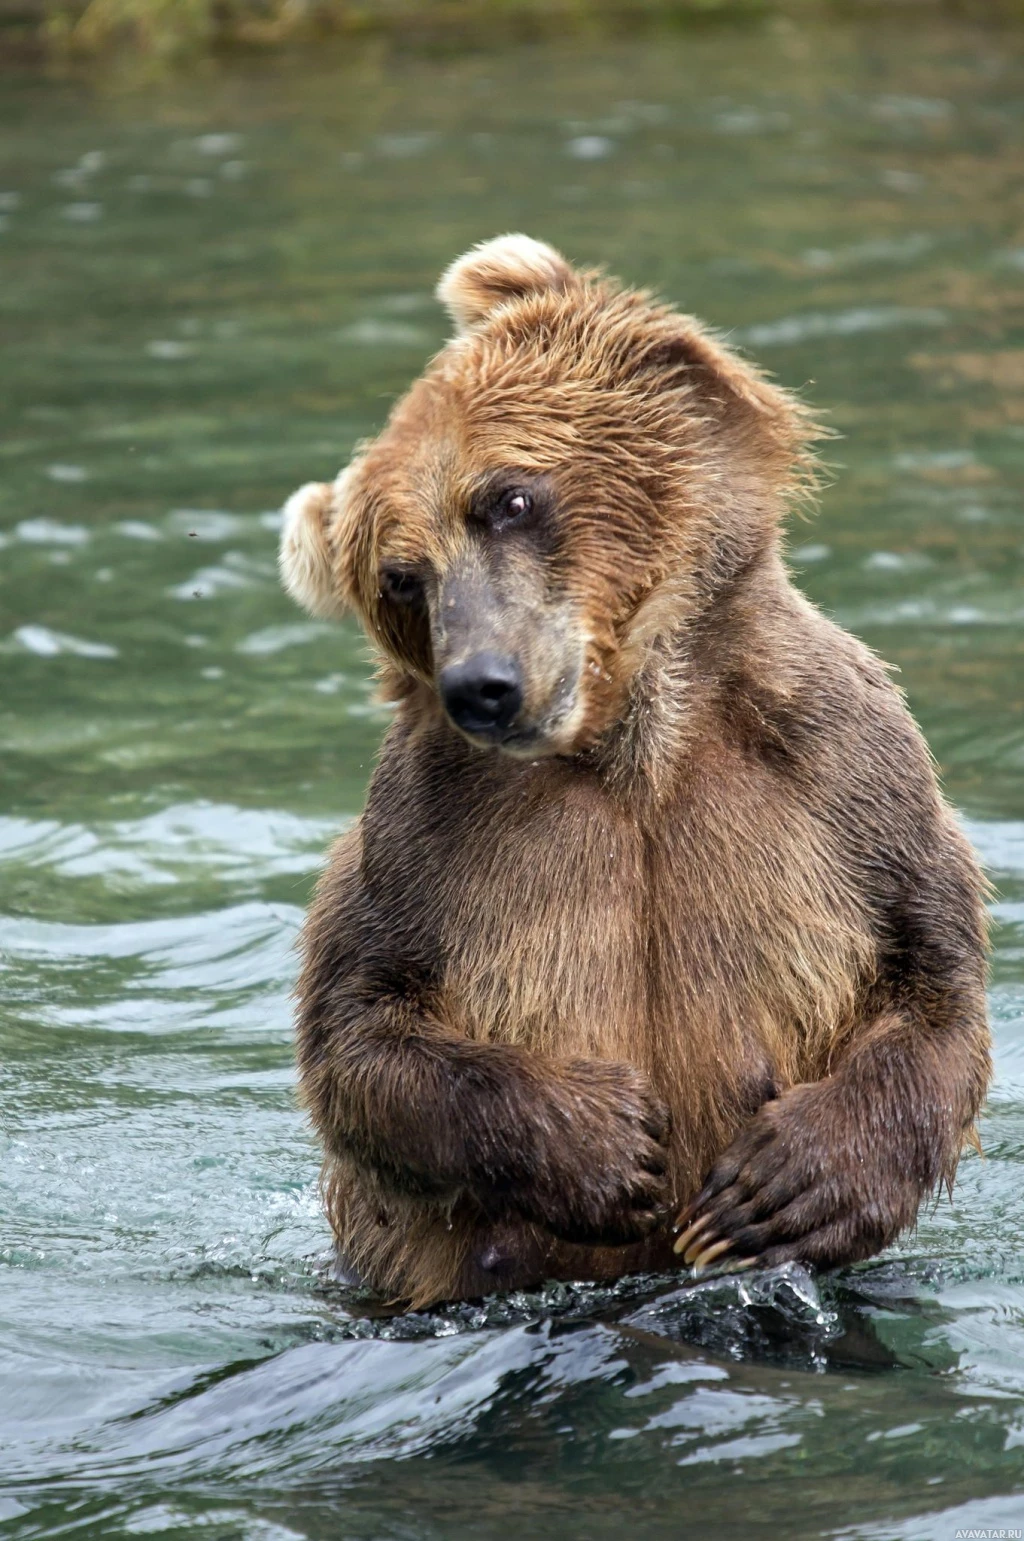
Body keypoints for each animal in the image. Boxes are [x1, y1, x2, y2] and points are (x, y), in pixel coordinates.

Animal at [275, 234, 985, 1306]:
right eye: (402, 577)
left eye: (508, 497)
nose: (482, 685)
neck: (634, 748)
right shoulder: (422, 831)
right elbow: (360, 1032)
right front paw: (606, 1144)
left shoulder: (850, 774)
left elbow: (935, 979)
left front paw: (781, 1185)